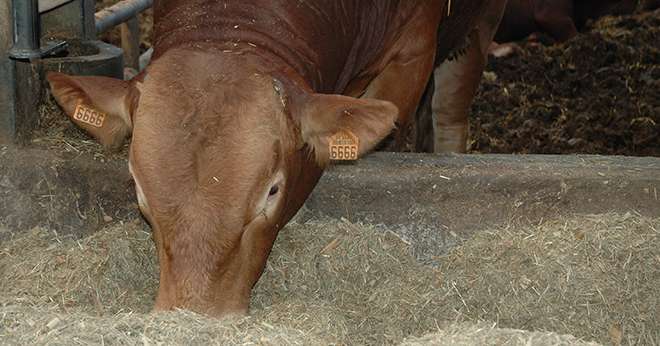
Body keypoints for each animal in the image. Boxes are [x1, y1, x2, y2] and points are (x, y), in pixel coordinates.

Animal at [47, 0, 506, 318]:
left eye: (272, 191)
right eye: (140, 194)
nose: (197, 314)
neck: (229, 31)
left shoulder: (411, 54)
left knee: (449, 108)